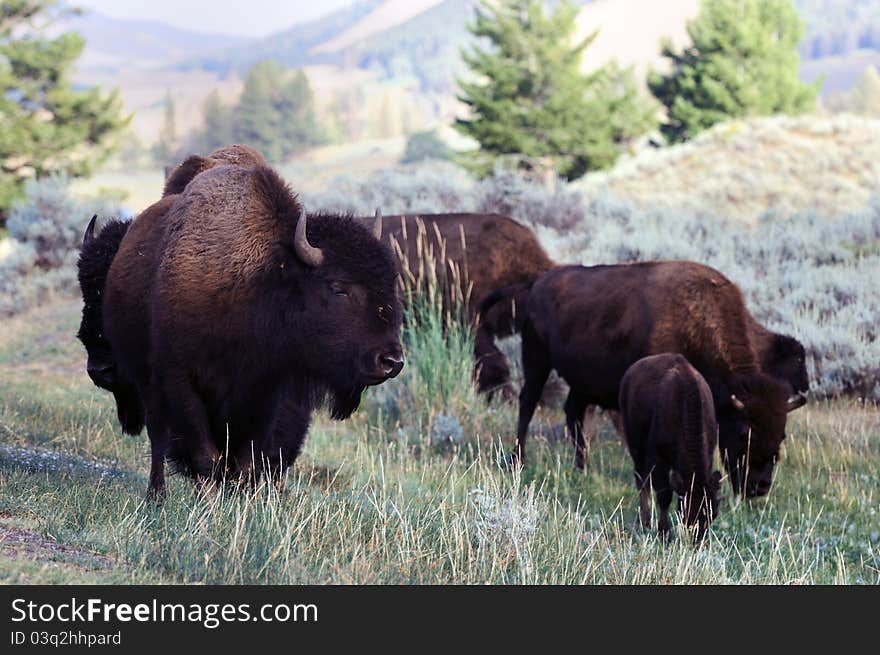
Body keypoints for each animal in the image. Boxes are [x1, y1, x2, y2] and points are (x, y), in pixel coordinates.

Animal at [105, 164, 404, 498]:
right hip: (148, 382)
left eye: (390, 283)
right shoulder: (180, 379)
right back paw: (156, 496)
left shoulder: (266, 392)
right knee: (158, 437)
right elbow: (205, 453)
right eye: (338, 287)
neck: (263, 281)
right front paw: (207, 500)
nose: (391, 361)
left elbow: (247, 459)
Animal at [484, 262, 800, 498]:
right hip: (536, 360)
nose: (760, 486)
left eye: (781, 433)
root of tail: (538, 283)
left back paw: (583, 468)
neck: (695, 321)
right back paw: (518, 460)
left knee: (573, 413)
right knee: (528, 403)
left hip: (583, 382)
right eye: (746, 431)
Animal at [620, 354, 720, 544]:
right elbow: (664, 495)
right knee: (641, 480)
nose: (698, 541)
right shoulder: (658, 459)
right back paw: (644, 521)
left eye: (713, 515)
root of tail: (631, 371)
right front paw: (664, 532)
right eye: (687, 513)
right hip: (636, 447)